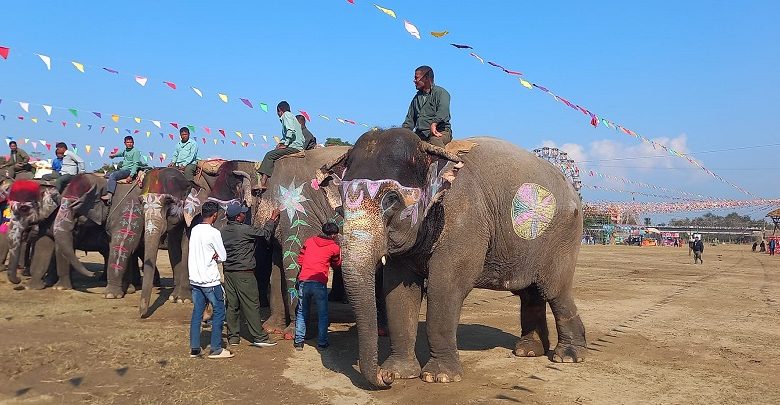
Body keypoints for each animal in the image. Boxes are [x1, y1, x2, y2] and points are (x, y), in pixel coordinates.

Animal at [318, 129, 584, 386]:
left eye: (392, 199)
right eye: (341, 201)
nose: (384, 378)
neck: (431, 150)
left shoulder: (463, 221)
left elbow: (445, 287)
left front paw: (439, 377)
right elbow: (398, 292)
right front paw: (400, 372)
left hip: (564, 237)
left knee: (555, 291)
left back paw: (567, 356)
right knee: (530, 293)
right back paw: (528, 351)